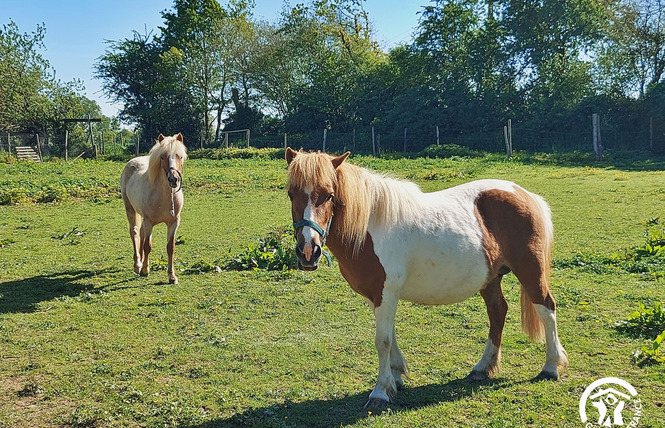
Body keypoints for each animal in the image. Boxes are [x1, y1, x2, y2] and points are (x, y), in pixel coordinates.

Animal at [119, 134, 185, 286]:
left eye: (180, 156)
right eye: (162, 157)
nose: (173, 179)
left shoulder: (173, 223)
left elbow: (170, 248)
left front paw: (172, 276)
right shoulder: (149, 222)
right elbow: (147, 246)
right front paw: (144, 270)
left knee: (141, 232)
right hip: (130, 209)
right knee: (135, 232)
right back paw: (138, 264)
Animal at [282, 149, 568, 410]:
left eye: (329, 195)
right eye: (291, 194)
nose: (308, 251)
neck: (369, 227)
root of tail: (525, 194)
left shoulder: (385, 292)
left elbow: (382, 340)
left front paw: (380, 392)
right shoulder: (378, 296)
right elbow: (390, 335)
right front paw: (395, 377)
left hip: (530, 270)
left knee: (546, 308)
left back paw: (550, 367)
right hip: (490, 279)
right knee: (498, 311)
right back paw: (482, 367)